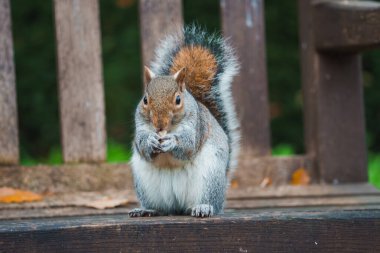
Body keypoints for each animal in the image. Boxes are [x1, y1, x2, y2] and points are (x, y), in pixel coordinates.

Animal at [129, 25, 239, 217]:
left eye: (178, 100)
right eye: (145, 99)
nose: (159, 124)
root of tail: (179, 206)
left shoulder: (196, 127)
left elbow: (188, 146)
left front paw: (172, 142)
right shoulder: (140, 125)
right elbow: (141, 145)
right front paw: (150, 141)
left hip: (210, 178)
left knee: (208, 201)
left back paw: (204, 207)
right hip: (146, 185)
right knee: (162, 209)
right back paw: (147, 210)